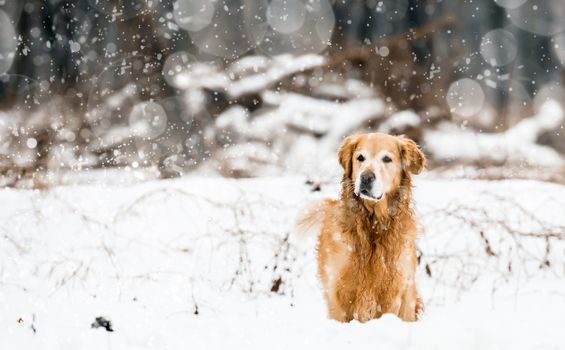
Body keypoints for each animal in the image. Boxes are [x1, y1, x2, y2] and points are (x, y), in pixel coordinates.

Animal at [298, 132, 426, 322]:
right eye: (360, 158)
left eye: (387, 159)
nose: (366, 177)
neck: (372, 224)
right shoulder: (337, 291)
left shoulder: (393, 291)